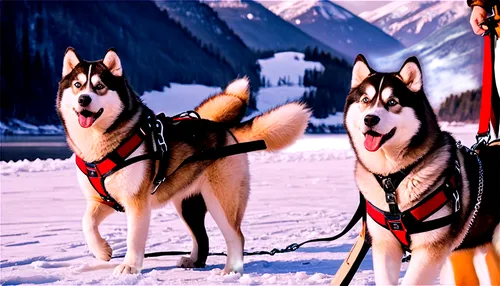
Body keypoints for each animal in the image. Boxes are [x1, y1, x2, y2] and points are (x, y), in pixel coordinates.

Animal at [56, 47, 310, 274]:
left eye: (100, 86)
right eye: (77, 85)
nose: (84, 99)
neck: (102, 144)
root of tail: (223, 129)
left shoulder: (136, 202)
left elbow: (133, 238)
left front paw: (130, 266)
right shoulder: (102, 200)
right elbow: (87, 223)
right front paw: (102, 251)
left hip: (221, 199)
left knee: (236, 236)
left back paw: (232, 270)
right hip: (188, 204)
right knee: (202, 237)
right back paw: (195, 261)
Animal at [344, 54, 500, 284]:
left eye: (392, 102)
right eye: (365, 100)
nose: (370, 119)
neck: (394, 178)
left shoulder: (429, 247)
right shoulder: (385, 244)